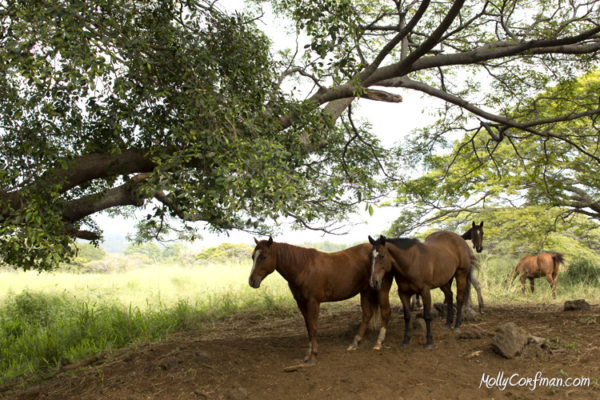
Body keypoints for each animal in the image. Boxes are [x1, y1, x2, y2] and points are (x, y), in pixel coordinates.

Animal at [247, 238, 394, 366]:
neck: (303, 268)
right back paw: (354, 343)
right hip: (365, 291)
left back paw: (378, 343)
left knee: (386, 312)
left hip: (380, 289)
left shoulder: (313, 302)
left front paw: (313, 357)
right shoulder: (301, 303)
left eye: (263, 257)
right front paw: (308, 353)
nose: (252, 281)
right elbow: (308, 326)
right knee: (367, 315)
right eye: (253, 256)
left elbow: (313, 328)